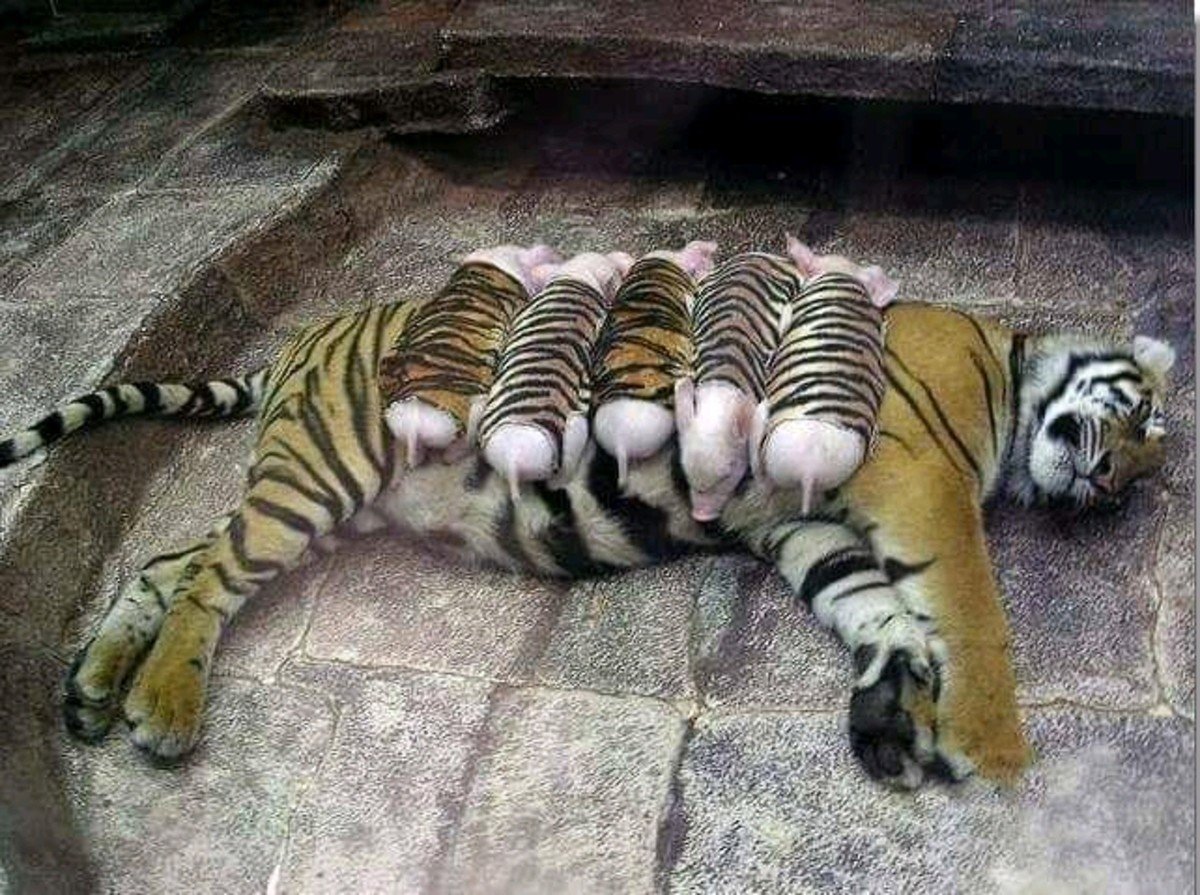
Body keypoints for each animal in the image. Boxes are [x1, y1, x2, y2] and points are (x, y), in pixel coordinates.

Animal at [0, 300, 1175, 789]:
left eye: (1135, 480)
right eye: (1146, 422)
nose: (1108, 485)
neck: (1011, 377)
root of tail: (311, 333)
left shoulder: (800, 523)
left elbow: (874, 608)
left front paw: (891, 714)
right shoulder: (920, 484)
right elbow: (969, 607)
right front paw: (987, 742)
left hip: (321, 496)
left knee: (172, 561)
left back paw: (96, 690)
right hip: (324, 468)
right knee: (208, 576)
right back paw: (161, 708)